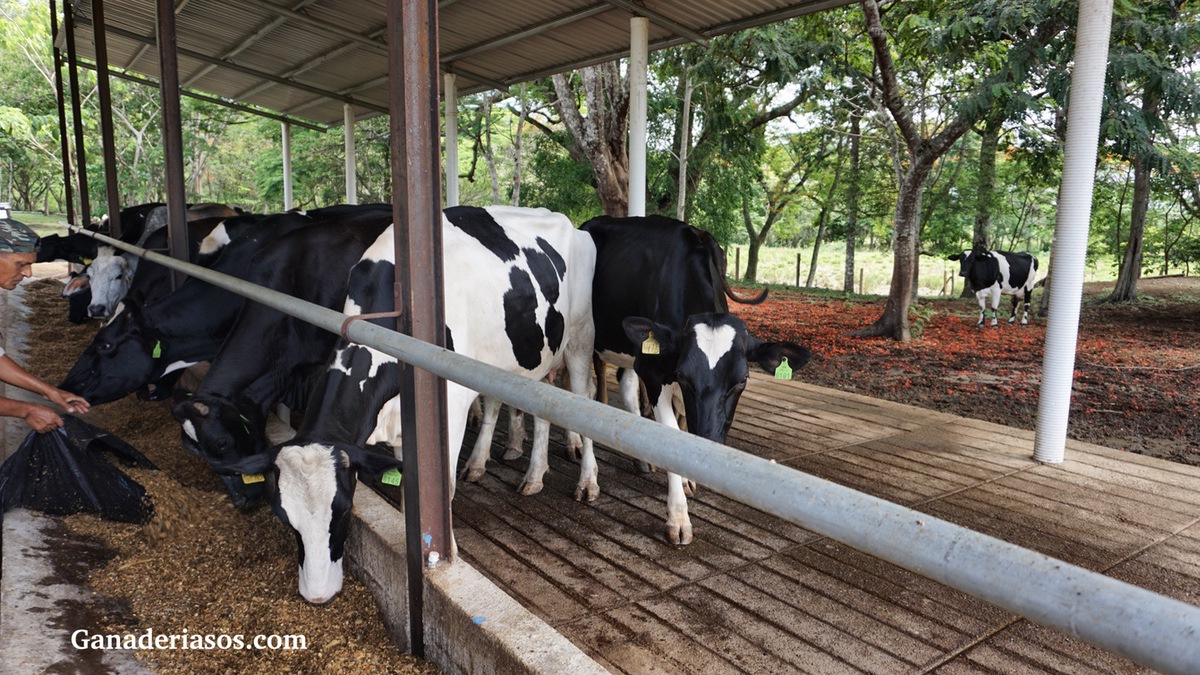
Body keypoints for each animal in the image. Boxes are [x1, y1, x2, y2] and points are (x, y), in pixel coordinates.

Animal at [217, 206, 600, 605]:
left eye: (344, 510)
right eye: (284, 517)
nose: (317, 595)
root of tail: (564, 219)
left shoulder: (450, 408)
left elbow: (443, 487)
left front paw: (445, 558)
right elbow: (407, 490)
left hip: (580, 337)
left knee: (584, 397)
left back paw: (587, 481)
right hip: (530, 356)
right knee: (540, 405)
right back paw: (528, 475)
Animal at [578, 214, 811, 540]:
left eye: (742, 381)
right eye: (684, 376)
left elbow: (684, 423)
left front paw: (689, 478)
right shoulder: (654, 371)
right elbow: (672, 432)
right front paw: (678, 517)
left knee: (624, 385)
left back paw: (641, 458)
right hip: (585, 339)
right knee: (585, 393)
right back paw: (586, 475)